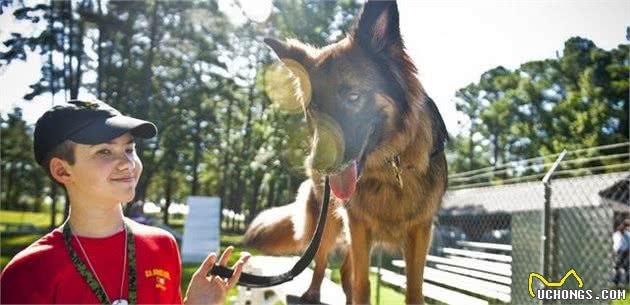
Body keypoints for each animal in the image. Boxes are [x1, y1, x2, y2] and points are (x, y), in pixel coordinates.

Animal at [243, 1, 450, 302]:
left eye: (353, 96)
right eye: (314, 108)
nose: (317, 166)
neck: (390, 167)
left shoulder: (420, 230)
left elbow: (413, 291)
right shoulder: (357, 225)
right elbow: (362, 284)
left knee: (343, 271)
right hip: (329, 224)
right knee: (322, 262)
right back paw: (312, 293)